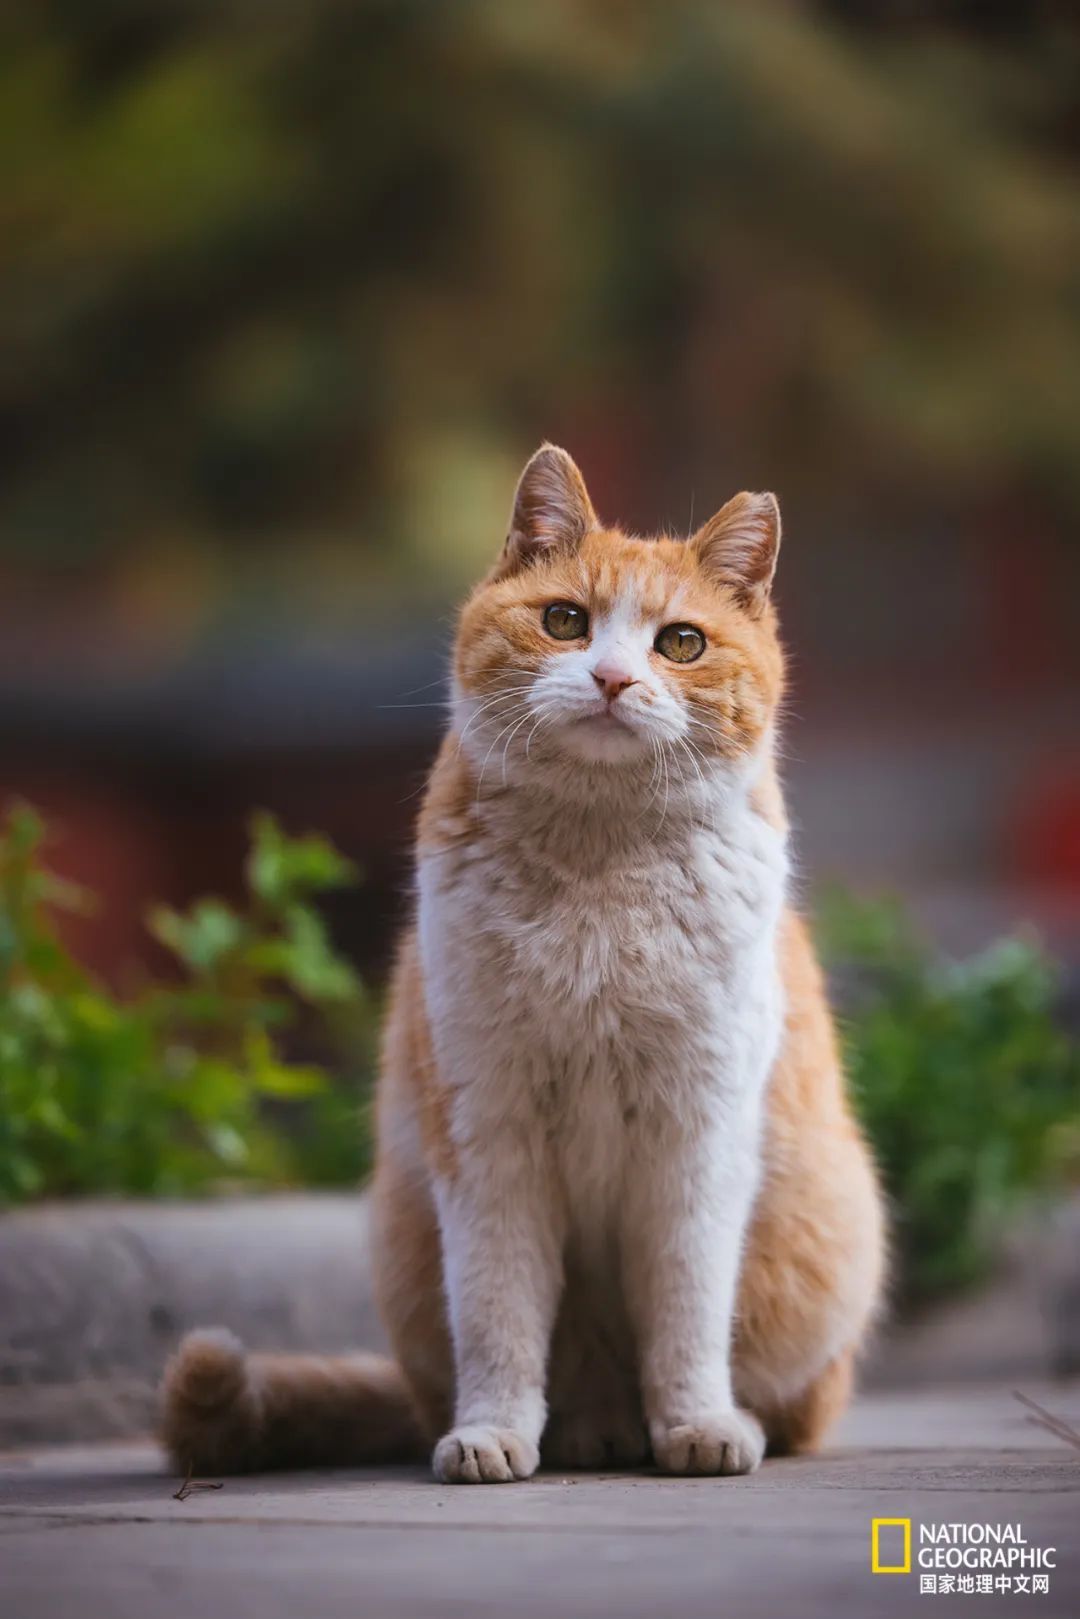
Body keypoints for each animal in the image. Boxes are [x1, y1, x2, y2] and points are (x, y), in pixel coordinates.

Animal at [162, 443, 887, 1483]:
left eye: (681, 643)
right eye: (565, 621)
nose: (614, 678)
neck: (597, 873)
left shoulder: (698, 1140)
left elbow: (687, 1306)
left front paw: (698, 1423)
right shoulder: (487, 1135)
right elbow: (499, 1315)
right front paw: (493, 1433)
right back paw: (587, 1431)